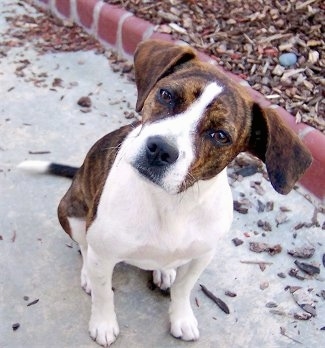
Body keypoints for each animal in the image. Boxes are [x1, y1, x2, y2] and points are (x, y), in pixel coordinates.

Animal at [19, 40, 312, 346]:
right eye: (166, 94)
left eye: (220, 135)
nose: (160, 149)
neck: (171, 203)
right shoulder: (104, 252)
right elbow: (104, 294)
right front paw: (103, 323)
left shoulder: (202, 256)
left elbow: (183, 290)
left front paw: (181, 318)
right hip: (71, 211)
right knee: (85, 248)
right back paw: (89, 273)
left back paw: (164, 270)